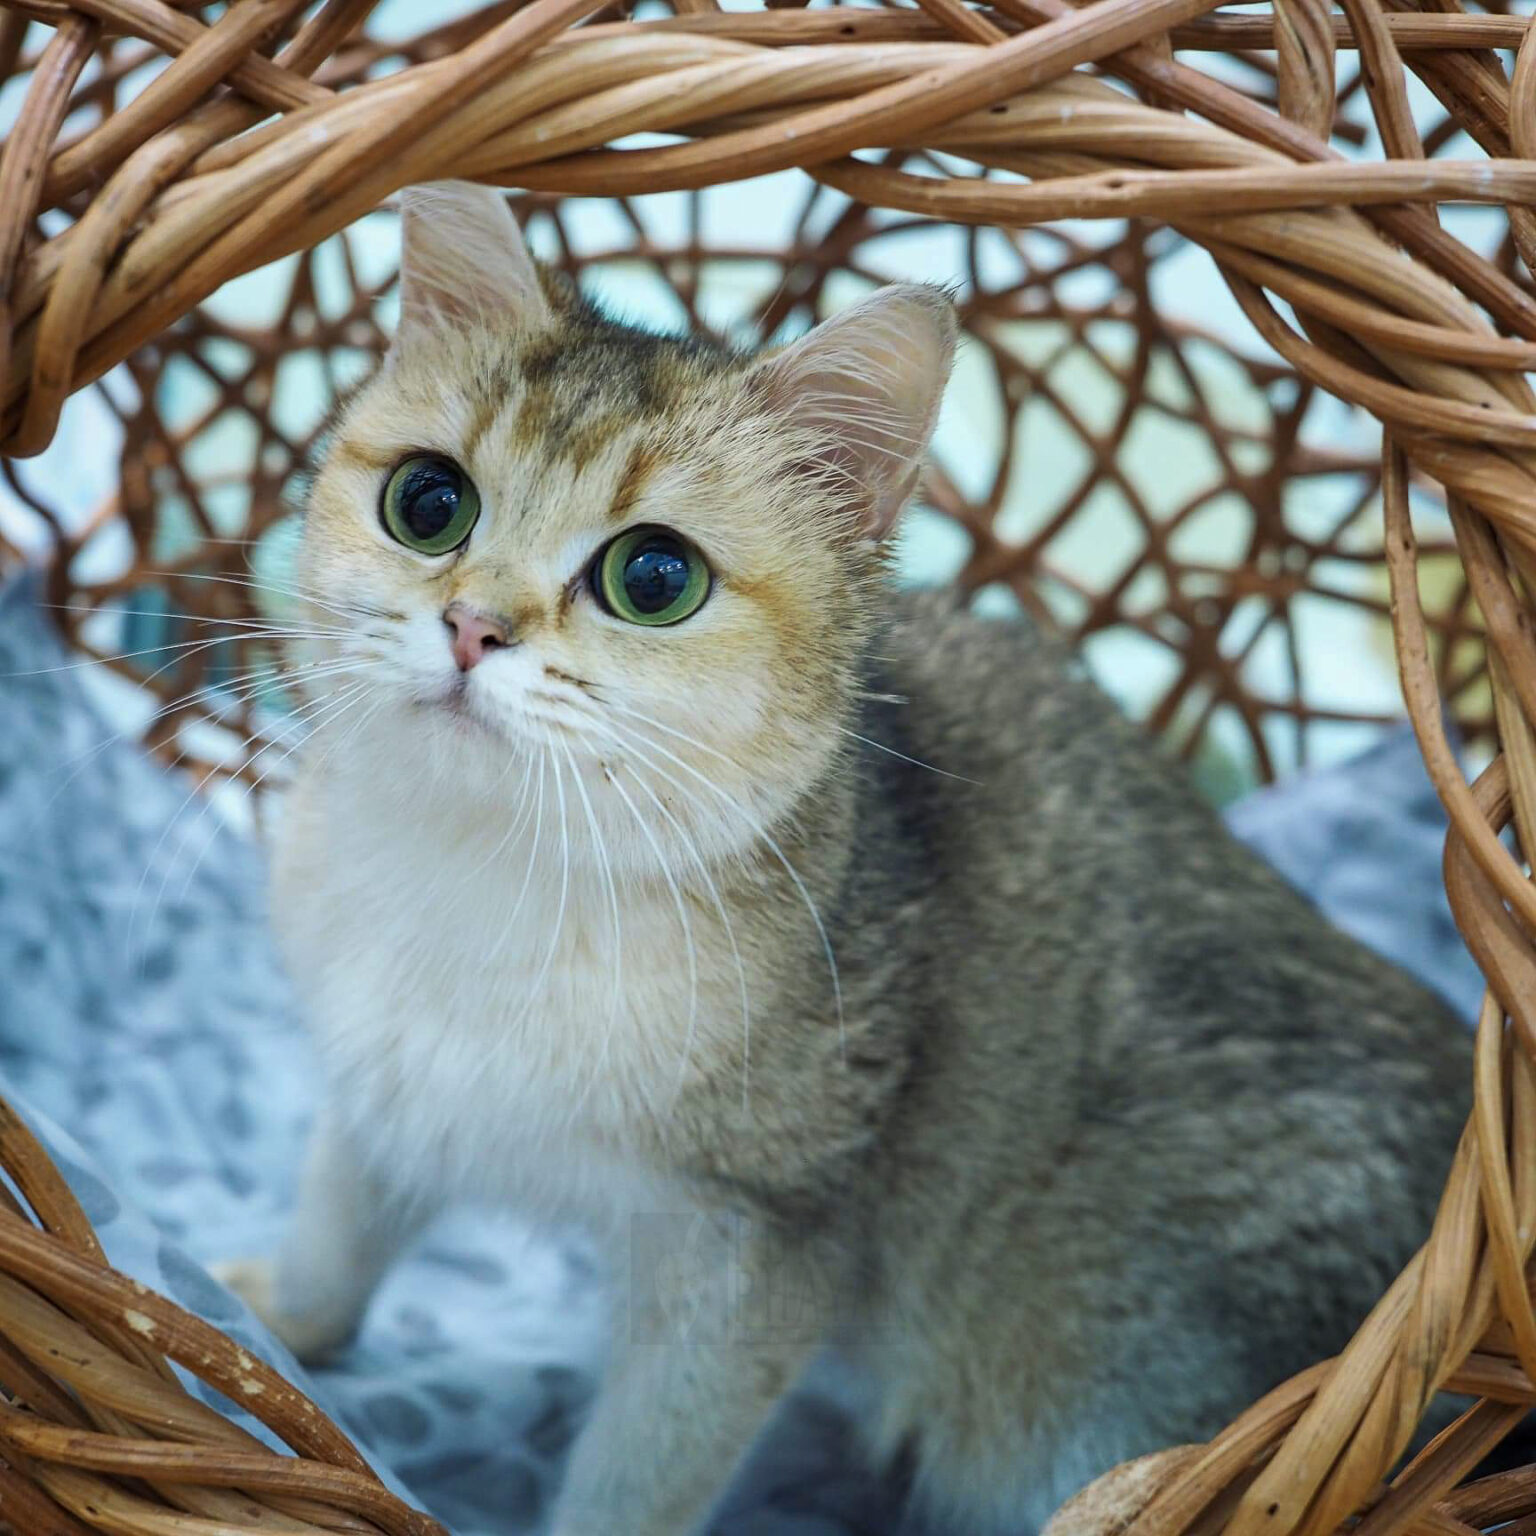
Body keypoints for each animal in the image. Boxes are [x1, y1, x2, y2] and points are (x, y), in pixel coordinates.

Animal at [219, 182, 1474, 1536]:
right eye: (428, 503)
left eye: (652, 577)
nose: (470, 626)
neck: (484, 870)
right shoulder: (382, 1088)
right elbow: (341, 1221)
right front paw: (275, 1324)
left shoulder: (754, 1247)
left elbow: (641, 1474)